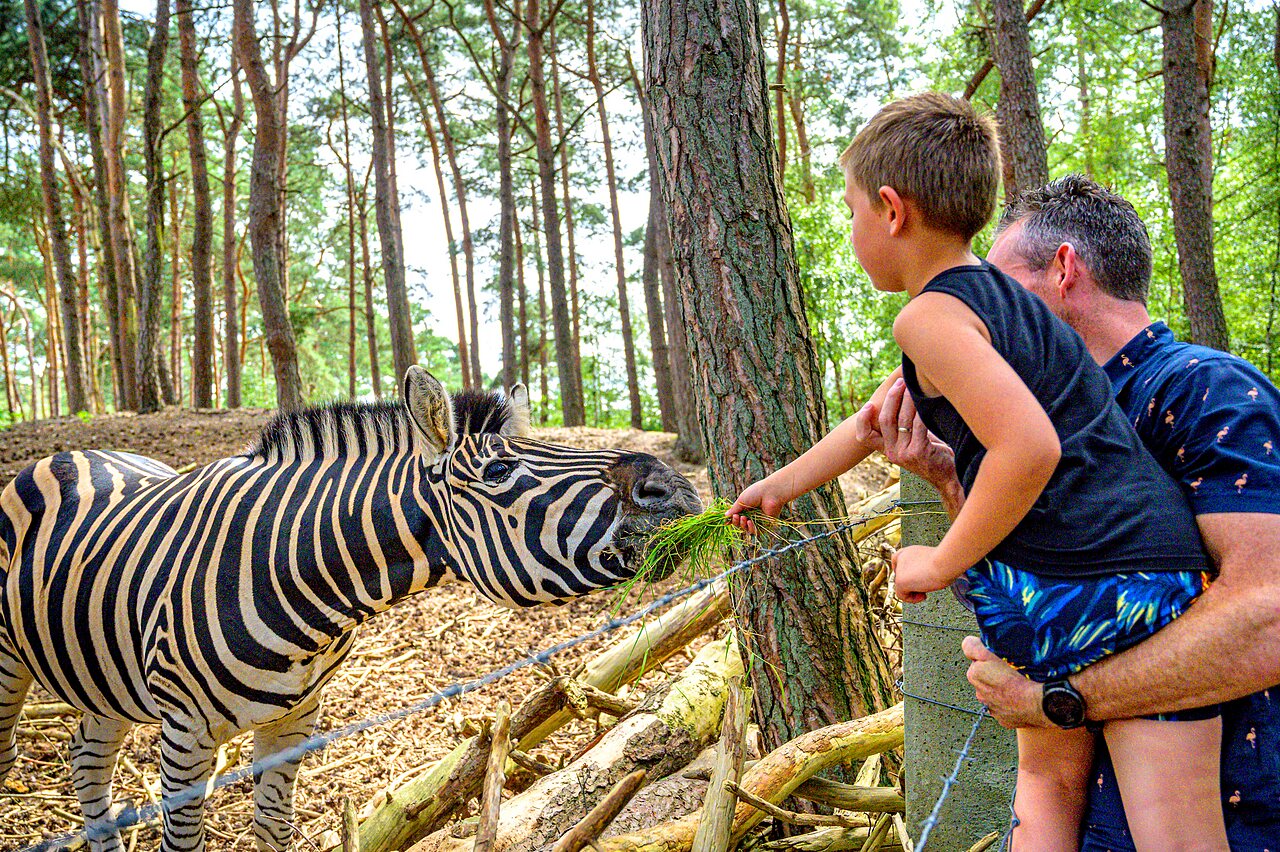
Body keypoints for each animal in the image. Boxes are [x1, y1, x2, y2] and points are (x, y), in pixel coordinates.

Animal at [0, 367, 701, 852]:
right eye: (500, 471)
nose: (678, 488)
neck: (290, 574)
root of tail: (73, 452)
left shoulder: (295, 721)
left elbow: (273, 829)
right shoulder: (184, 738)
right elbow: (185, 841)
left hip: (102, 677)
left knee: (88, 759)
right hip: (13, 667)